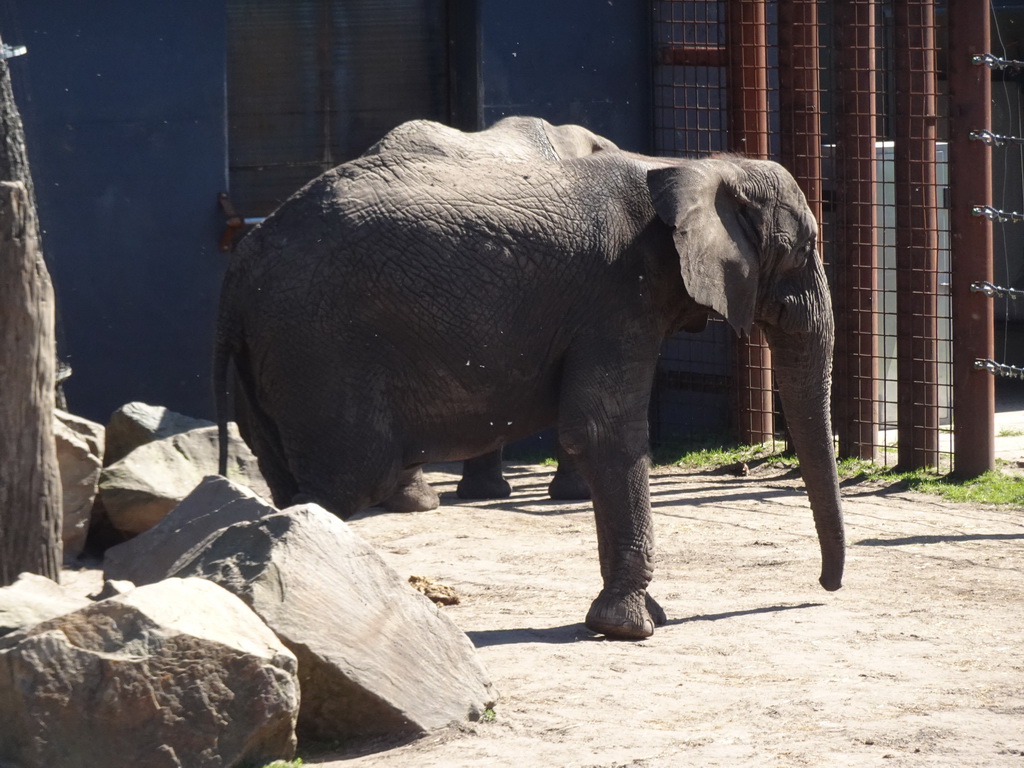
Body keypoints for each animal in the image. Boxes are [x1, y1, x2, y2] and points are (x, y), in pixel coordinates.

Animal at [211, 124, 843, 643]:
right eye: (801, 250)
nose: (826, 588)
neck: (688, 168)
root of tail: (238, 271)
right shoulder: (617, 297)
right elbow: (602, 430)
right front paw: (631, 628)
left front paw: (646, 617)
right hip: (317, 345)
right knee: (347, 479)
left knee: (289, 480)